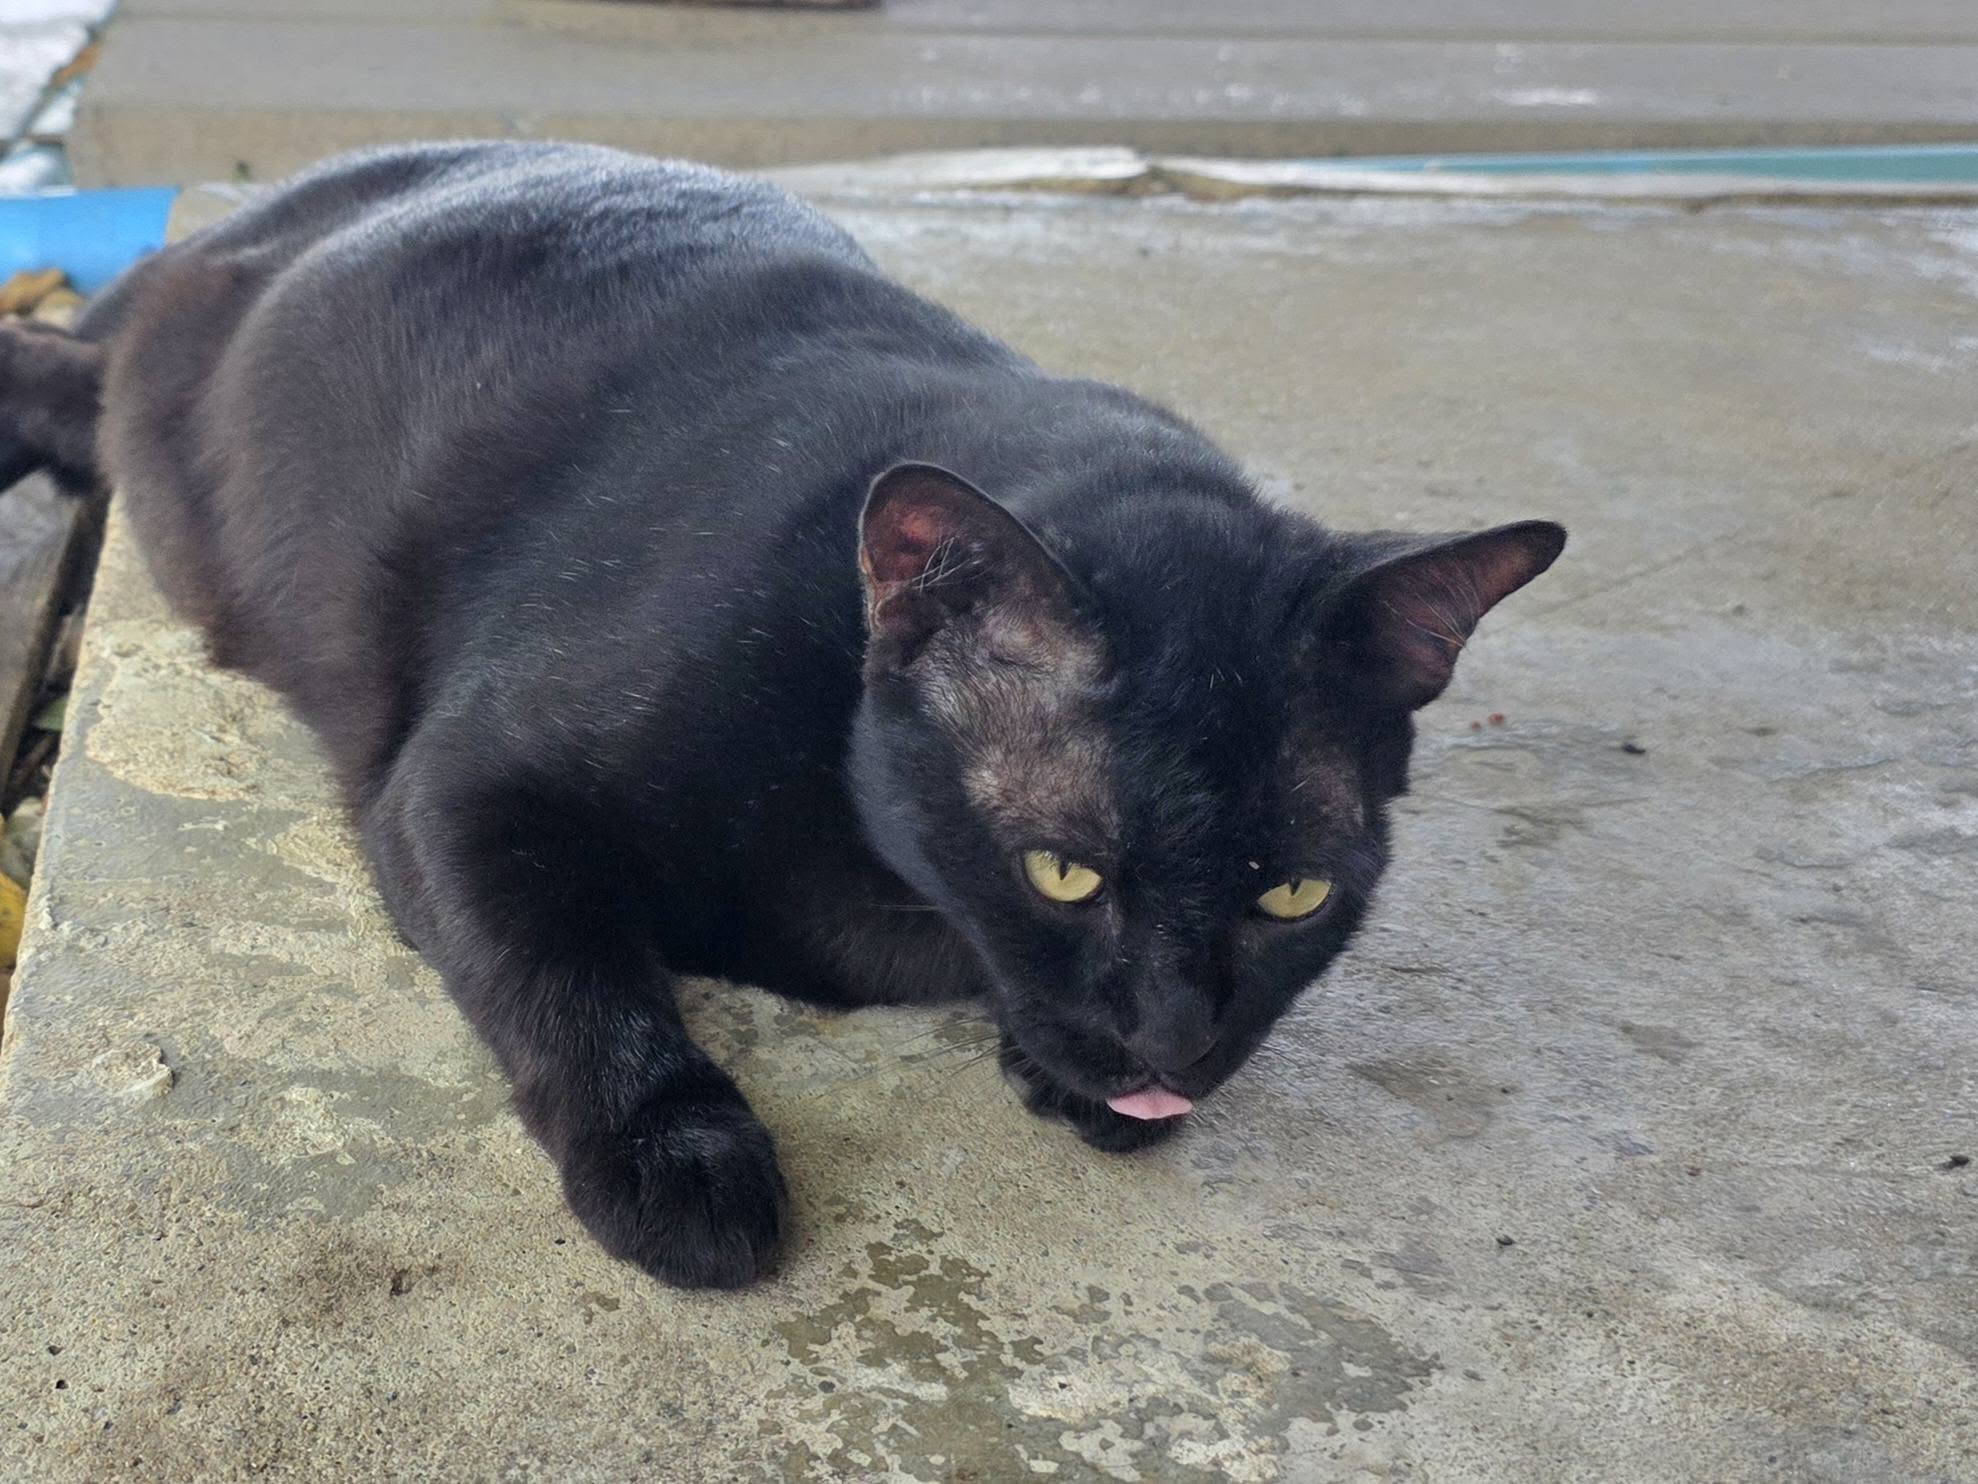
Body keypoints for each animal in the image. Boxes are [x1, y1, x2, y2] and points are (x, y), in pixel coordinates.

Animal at [0, 141, 1565, 1288]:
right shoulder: (464, 787)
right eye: (1063, 870)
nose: (1178, 1038)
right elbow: (572, 973)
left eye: (1296, 895)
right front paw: (678, 1163)